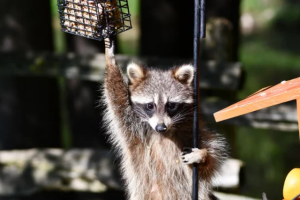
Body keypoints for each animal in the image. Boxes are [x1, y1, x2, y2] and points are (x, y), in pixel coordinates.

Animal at [102, 38, 226, 200]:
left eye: (171, 105)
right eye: (150, 105)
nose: (161, 127)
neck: (163, 134)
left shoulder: (192, 130)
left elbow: (209, 164)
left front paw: (203, 155)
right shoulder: (131, 126)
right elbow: (117, 98)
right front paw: (109, 58)